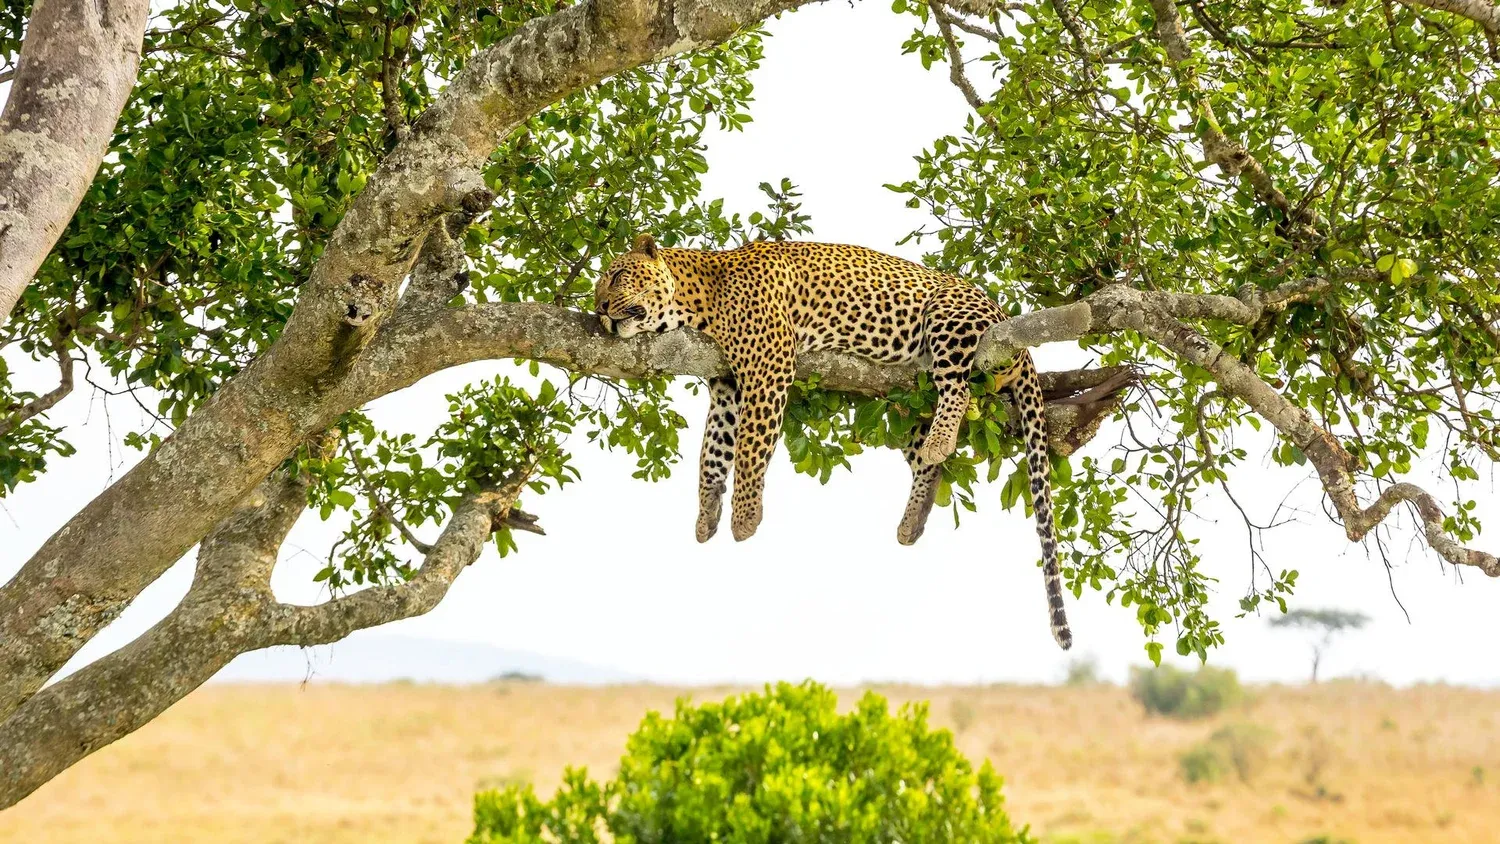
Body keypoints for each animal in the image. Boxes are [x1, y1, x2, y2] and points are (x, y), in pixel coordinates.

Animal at [594, 234, 1072, 649]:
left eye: (617, 276)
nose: (598, 307)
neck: (697, 301)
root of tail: (1002, 312)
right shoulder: (726, 386)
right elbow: (713, 452)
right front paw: (706, 514)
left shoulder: (769, 365)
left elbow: (749, 448)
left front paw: (744, 518)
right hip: (907, 400)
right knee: (926, 458)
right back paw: (913, 518)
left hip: (949, 318)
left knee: (959, 390)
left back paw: (939, 442)